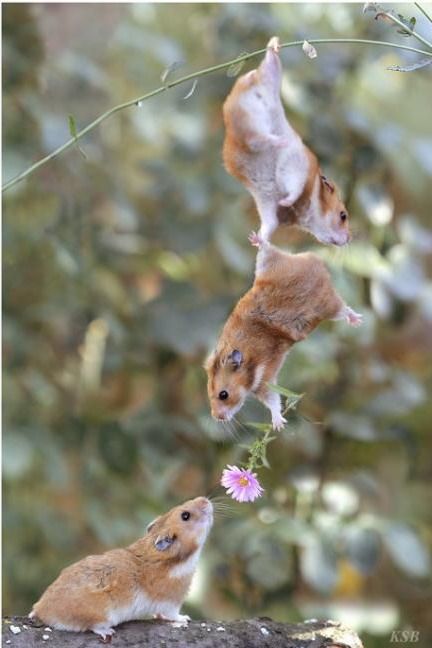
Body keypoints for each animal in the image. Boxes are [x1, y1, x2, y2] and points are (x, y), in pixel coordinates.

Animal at [29, 497, 213, 641]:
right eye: (185, 515)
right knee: (92, 626)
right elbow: (174, 615)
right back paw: (108, 631)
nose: (205, 499)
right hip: (101, 614)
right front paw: (185, 618)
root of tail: (41, 609)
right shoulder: (171, 602)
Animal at [205, 233, 362, 430]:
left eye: (223, 394)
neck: (248, 362)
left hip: (328, 305)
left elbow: (273, 401)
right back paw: (256, 239)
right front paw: (279, 425)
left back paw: (357, 321)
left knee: (344, 310)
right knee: (269, 249)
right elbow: (272, 400)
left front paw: (278, 425)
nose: (217, 417)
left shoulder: (265, 380)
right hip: (268, 264)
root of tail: (316, 262)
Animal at [222, 36, 350, 246]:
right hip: (260, 113)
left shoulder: (267, 203)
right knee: (257, 139)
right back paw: (279, 140)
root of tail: (251, 82)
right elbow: (293, 190)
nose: (349, 239)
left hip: (267, 80)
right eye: (343, 215)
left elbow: (269, 225)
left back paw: (273, 45)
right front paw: (286, 201)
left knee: (269, 63)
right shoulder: (296, 169)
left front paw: (255, 239)